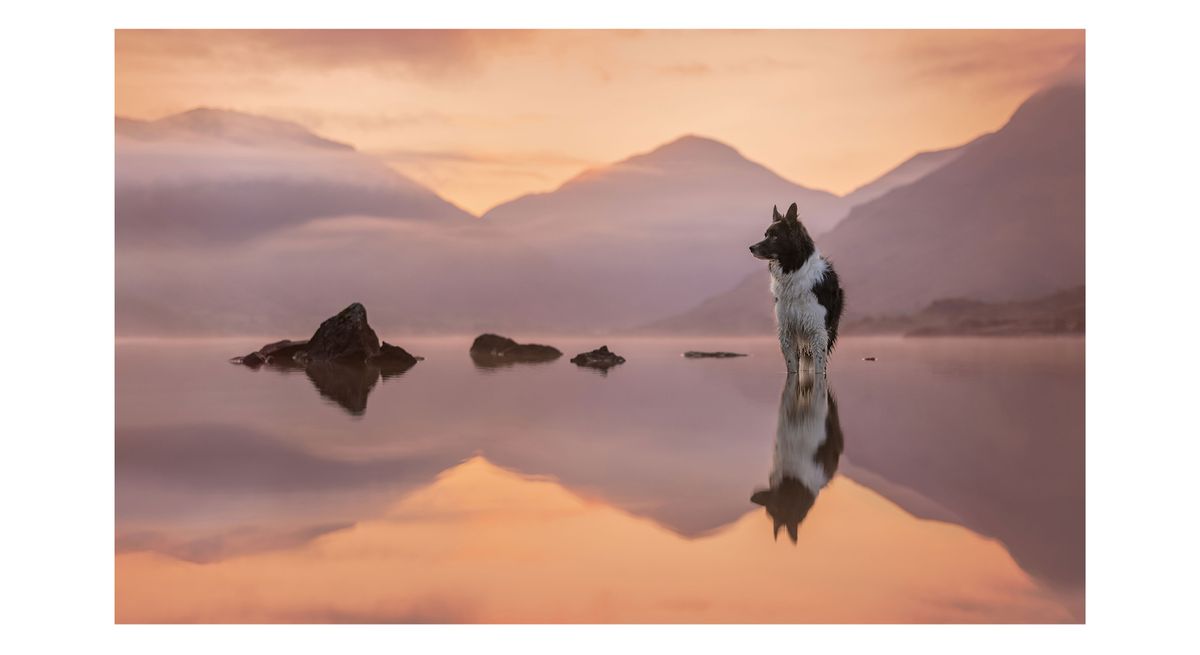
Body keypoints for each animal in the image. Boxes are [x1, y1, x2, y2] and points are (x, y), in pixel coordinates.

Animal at [748, 201, 844, 371]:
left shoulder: (818, 330)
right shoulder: (787, 329)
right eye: (765, 234)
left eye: (776, 236)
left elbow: (819, 367)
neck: (794, 271)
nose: (751, 248)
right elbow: (792, 366)